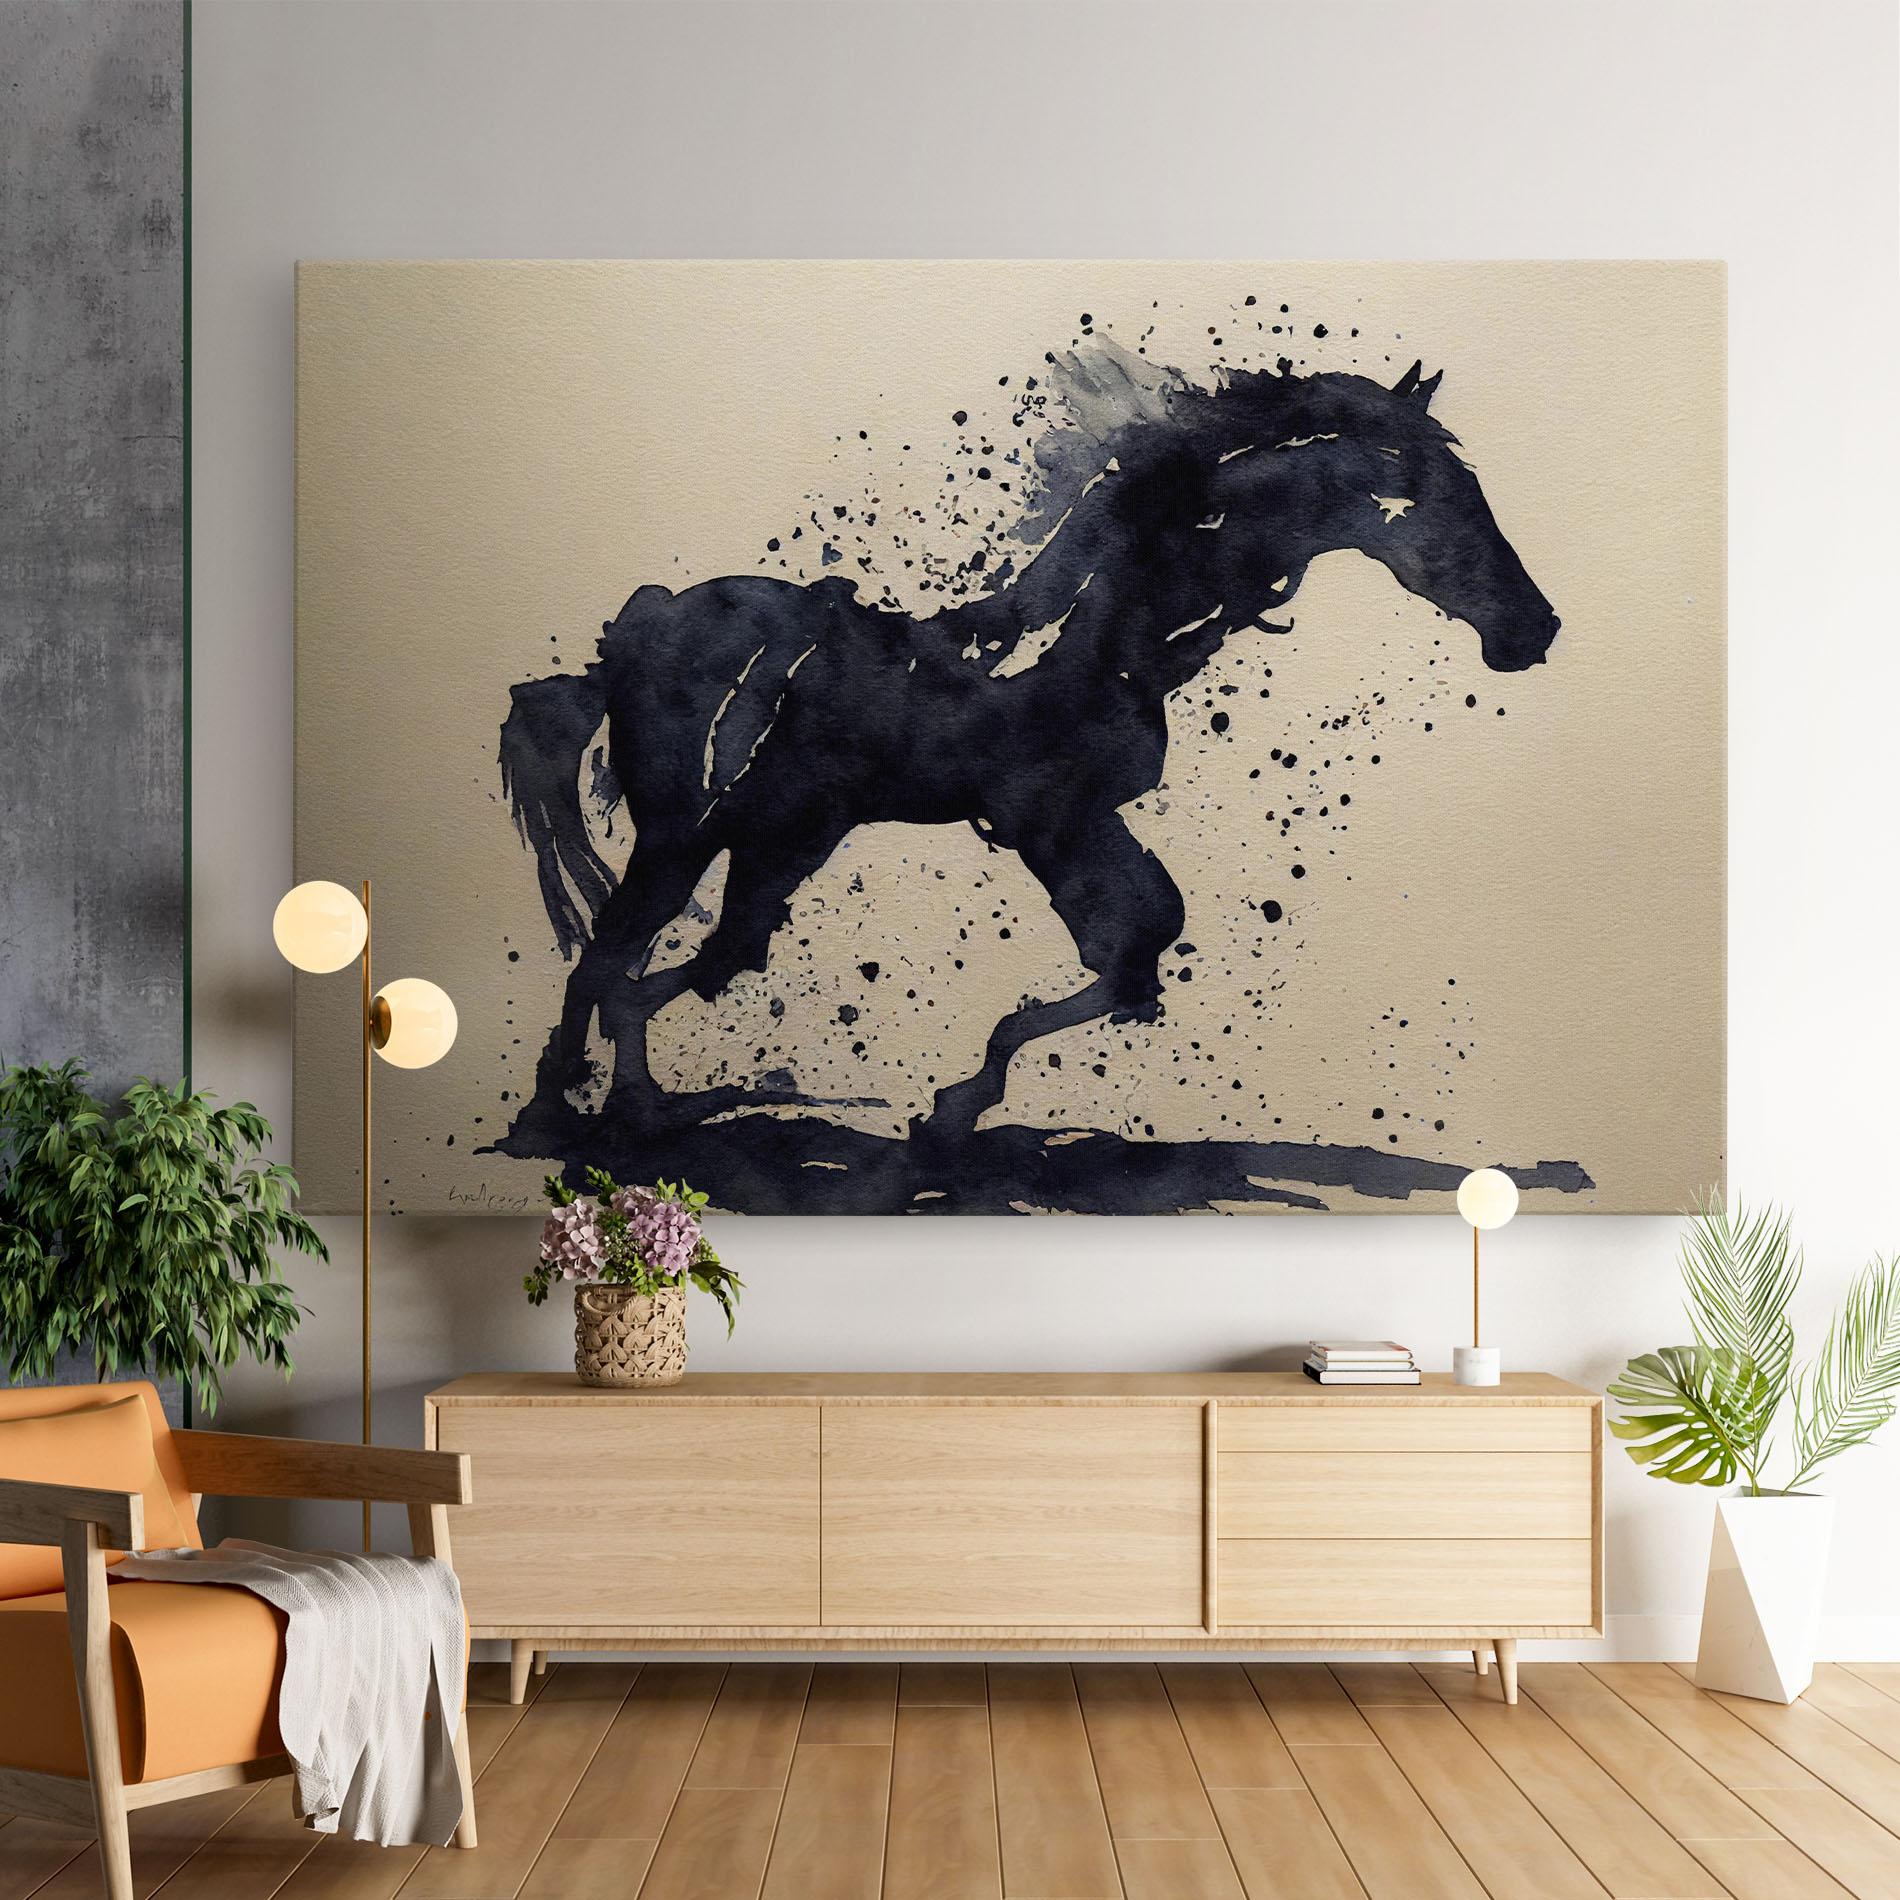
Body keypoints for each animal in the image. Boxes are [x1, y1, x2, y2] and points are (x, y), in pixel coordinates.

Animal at [499, 352, 1560, 1149]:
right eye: (1443, 501)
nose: (1535, 630)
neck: (1111, 628)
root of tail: (633, 637)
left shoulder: (1085, 823)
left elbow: (1141, 947)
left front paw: (956, 1104)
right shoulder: (1044, 822)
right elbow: (1127, 946)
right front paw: (950, 1108)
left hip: (765, 836)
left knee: (672, 952)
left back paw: (628, 1103)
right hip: (693, 833)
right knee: (621, 957)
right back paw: (574, 1109)